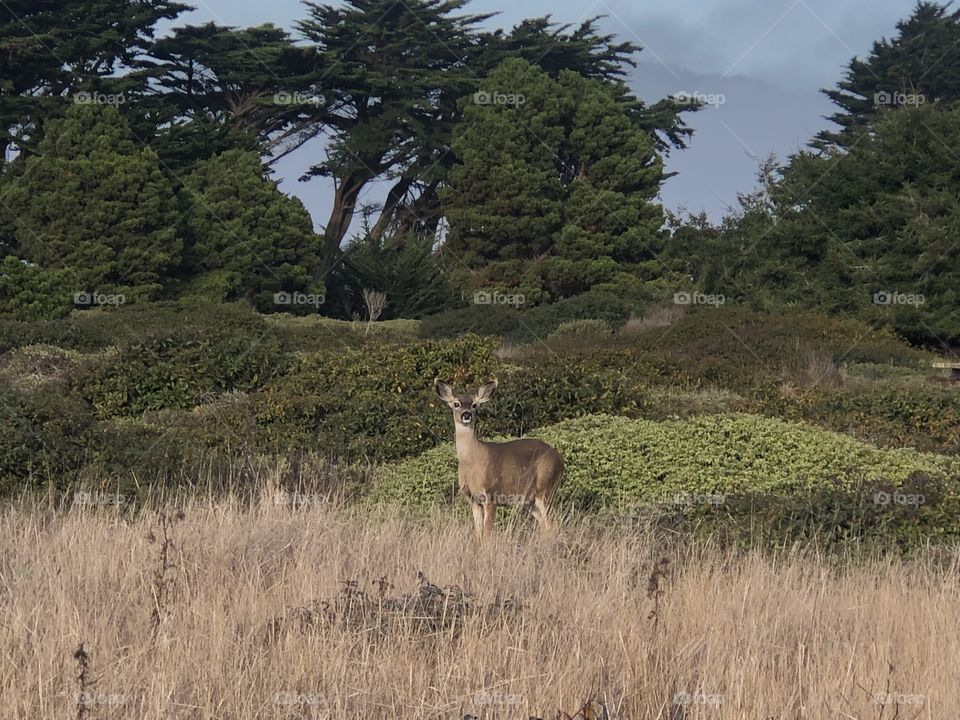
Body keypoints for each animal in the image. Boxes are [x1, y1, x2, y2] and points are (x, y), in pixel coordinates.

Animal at [434, 376, 564, 540]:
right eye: (456, 404)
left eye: (474, 405)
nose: (466, 414)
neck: (472, 462)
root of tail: (561, 459)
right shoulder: (472, 499)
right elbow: (478, 534)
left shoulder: (492, 494)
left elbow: (487, 534)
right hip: (531, 501)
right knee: (545, 525)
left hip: (546, 488)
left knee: (554, 524)